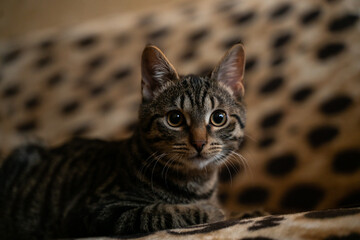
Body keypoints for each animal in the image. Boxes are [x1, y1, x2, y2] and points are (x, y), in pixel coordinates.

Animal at [0, 44, 248, 239]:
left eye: (218, 118)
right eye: (175, 119)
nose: (199, 142)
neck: (197, 182)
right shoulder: (96, 210)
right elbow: (159, 211)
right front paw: (213, 211)